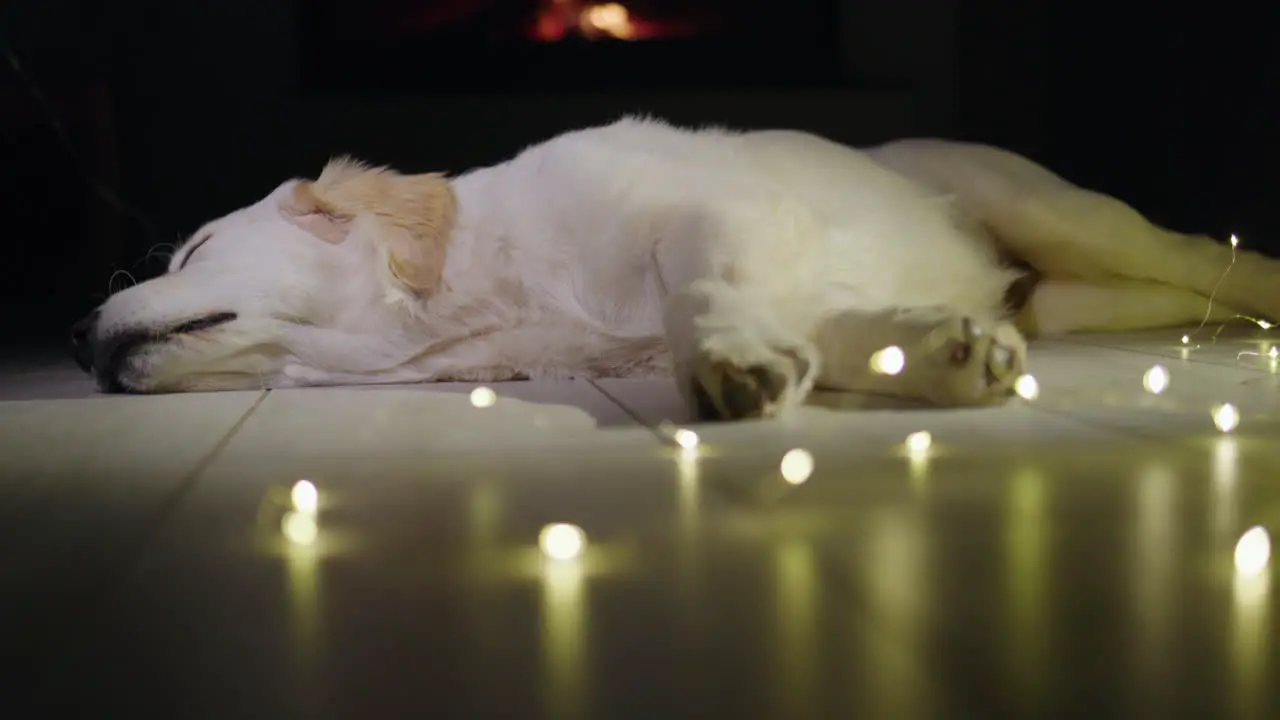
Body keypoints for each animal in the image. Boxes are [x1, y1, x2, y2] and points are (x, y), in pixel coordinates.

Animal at [72, 116, 1280, 420]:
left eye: (192, 249)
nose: (80, 347)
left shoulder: (710, 219)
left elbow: (703, 292)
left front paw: (731, 365)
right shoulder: (794, 277)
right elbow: (848, 335)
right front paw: (943, 354)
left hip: (1054, 210)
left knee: (1197, 255)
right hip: (1078, 292)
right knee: (1169, 290)